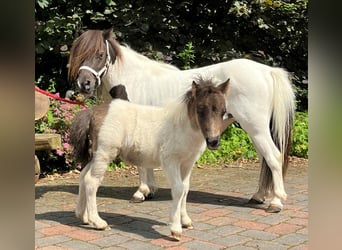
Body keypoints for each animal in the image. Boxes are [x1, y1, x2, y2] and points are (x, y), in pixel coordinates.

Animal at [68, 29, 296, 213]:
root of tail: (266, 71)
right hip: (256, 130)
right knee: (265, 159)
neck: (134, 80)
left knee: (274, 157)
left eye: (100, 54)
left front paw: (141, 192)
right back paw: (258, 196)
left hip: (256, 128)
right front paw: (149, 190)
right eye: (78, 55)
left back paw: (276, 202)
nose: (84, 84)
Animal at [69, 76, 230, 240]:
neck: (183, 127)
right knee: (91, 181)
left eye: (223, 111)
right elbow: (178, 189)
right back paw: (98, 222)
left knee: (83, 176)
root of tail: (92, 112)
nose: (213, 141)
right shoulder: (170, 161)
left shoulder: (187, 163)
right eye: (200, 109)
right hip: (104, 153)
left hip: (97, 154)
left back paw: (82, 216)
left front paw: (185, 221)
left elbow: (185, 189)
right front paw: (175, 228)